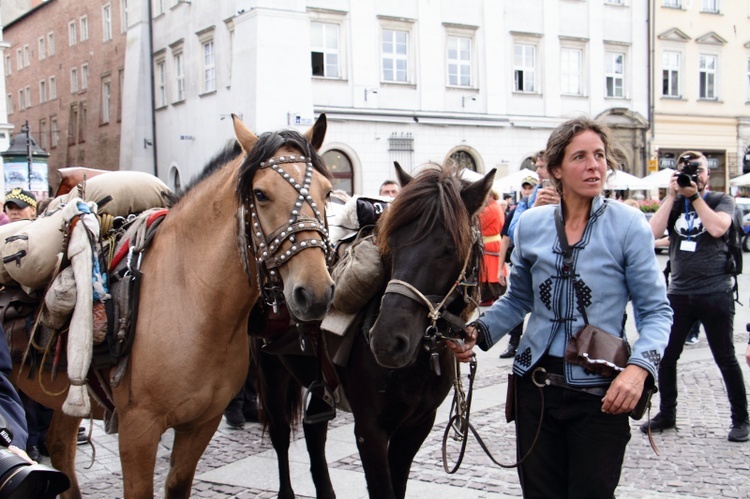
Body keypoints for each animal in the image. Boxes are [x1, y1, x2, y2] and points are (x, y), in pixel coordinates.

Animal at [8, 115, 334, 498]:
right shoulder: (138, 430)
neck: (192, 297)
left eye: (327, 192)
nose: (315, 293)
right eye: (260, 194)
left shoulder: (201, 424)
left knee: (61, 449)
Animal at [256, 162, 496, 498]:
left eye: (449, 249)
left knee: (314, 433)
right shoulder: (370, 430)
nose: (386, 341)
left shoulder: (418, 426)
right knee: (279, 435)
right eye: (391, 242)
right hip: (269, 369)